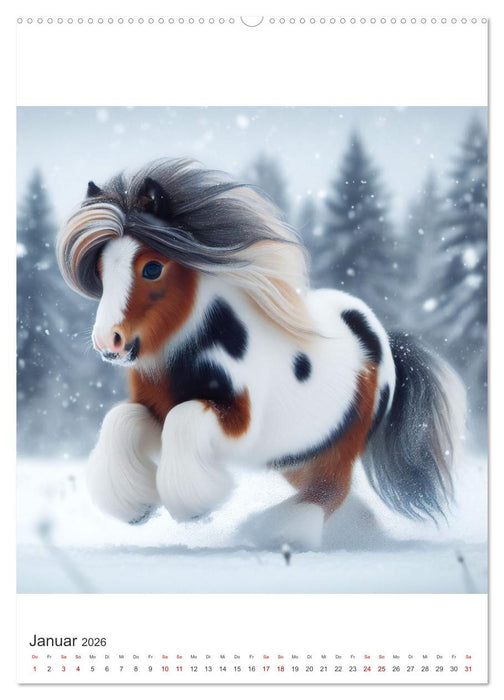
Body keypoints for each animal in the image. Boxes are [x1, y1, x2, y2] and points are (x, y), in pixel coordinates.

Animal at [56, 158, 466, 550]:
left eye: (153, 268)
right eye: (100, 270)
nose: (108, 343)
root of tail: (384, 339)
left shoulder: (239, 424)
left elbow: (184, 419)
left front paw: (194, 507)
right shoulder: (156, 408)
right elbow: (122, 419)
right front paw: (136, 507)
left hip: (340, 446)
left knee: (330, 491)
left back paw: (279, 534)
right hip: (297, 454)